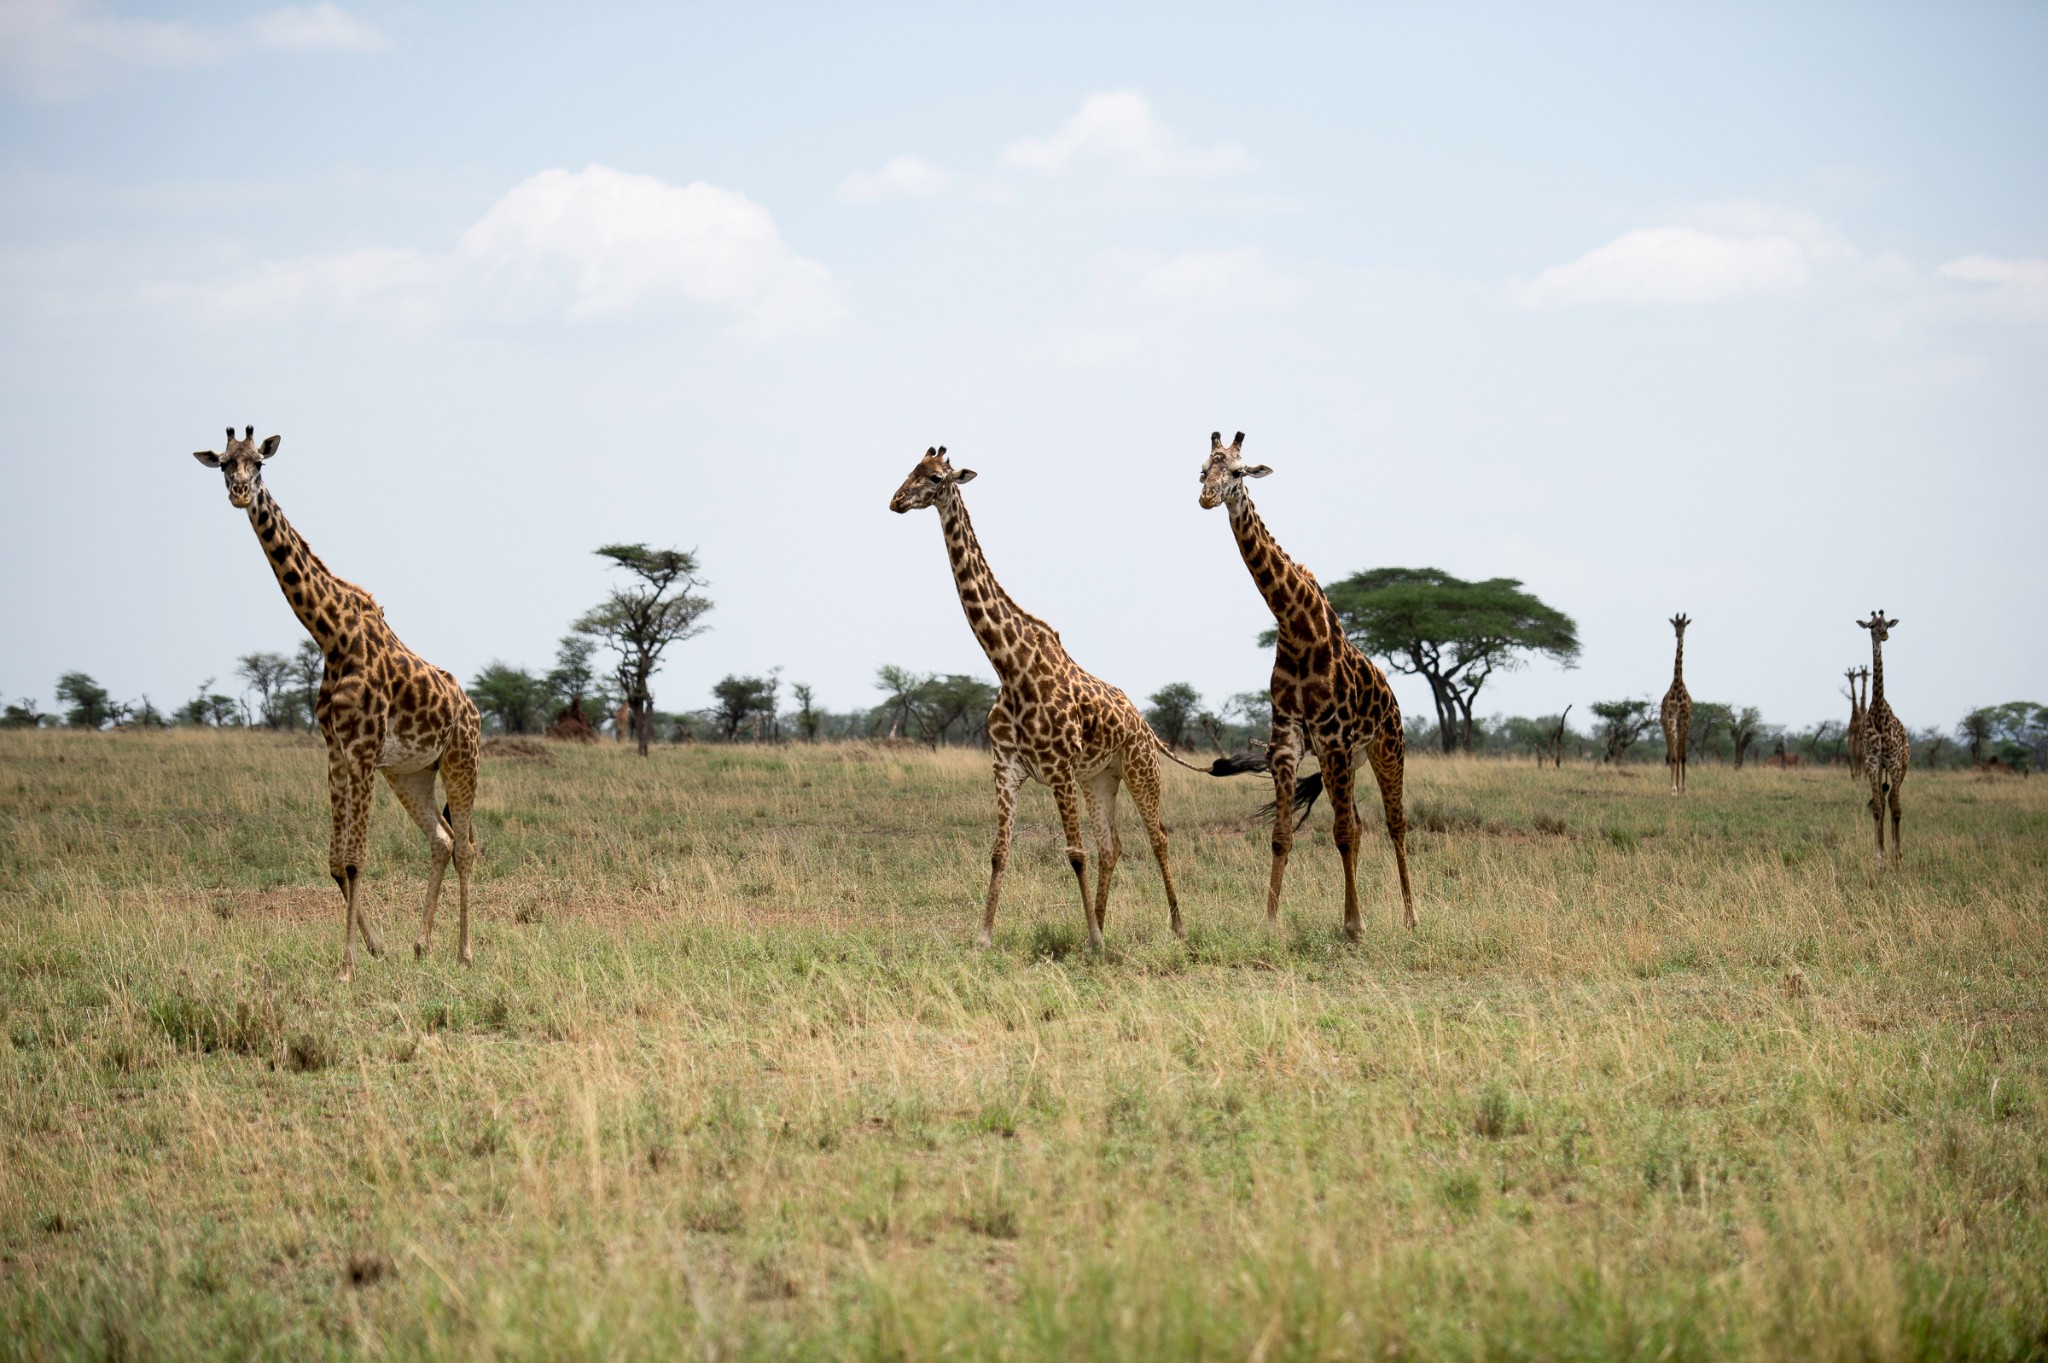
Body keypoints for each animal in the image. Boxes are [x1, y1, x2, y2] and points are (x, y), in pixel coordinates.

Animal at [190, 425, 481, 978]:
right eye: (224, 463)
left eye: (260, 462)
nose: (239, 492)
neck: (331, 636)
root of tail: (474, 710)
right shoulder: (335, 751)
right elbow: (333, 863)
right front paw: (375, 947)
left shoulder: (363, 751)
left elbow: (354, 859)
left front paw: (347, 965)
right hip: (410, 773)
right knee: (442, 839)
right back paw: (420, 945)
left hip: (462, 761)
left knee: (468, 847)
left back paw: (464, 951)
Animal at [884, 444, 1187, 945]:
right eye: (910, 470)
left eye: (935, 478)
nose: (896, 501)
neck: (1010, 666)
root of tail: (1144, 723)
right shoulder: (1006, 766)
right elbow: (999, 851)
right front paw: (983, 938)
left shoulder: (1059, 769)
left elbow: (1074, 852)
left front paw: (1093, 941)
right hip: (1099, 778)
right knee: (1112, 845)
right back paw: (1100, 921)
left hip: (1140, 769)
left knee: (1157, 837)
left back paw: (1174, 927)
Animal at [1196, 431, 1417, 933]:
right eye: (1202, 470)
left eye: (1236, 471)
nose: (1207, 497)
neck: (1295, 626)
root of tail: (1391, 695)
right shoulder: (1287, 739)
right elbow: (1281, 835)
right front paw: (1270, 922)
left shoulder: (1332, 737)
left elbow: (1341, 833)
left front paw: (1354, 926)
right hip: (1350, 758)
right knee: (1360, 823)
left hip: (1385, 748)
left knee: (1393, 823)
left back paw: (1411, 917)